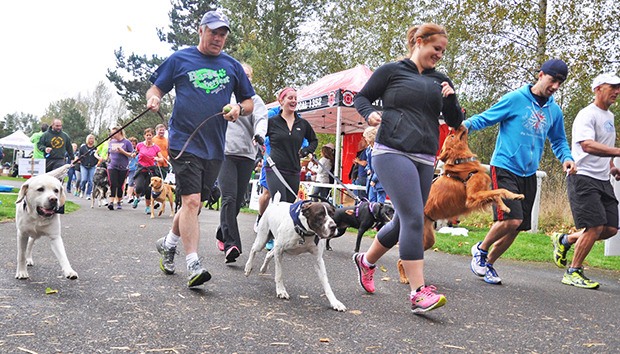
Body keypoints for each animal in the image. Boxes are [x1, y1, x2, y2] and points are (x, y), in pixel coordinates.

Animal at [398, 126, 524, 284]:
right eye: (452, 135)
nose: (458, 126)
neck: (462, 162)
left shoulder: (479, 195)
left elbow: (497, 194)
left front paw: (509, 202)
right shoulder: (472, 197)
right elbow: (499, 191)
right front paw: (511, 201)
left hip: (428, 240)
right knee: (401, 260)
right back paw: (404, 278)